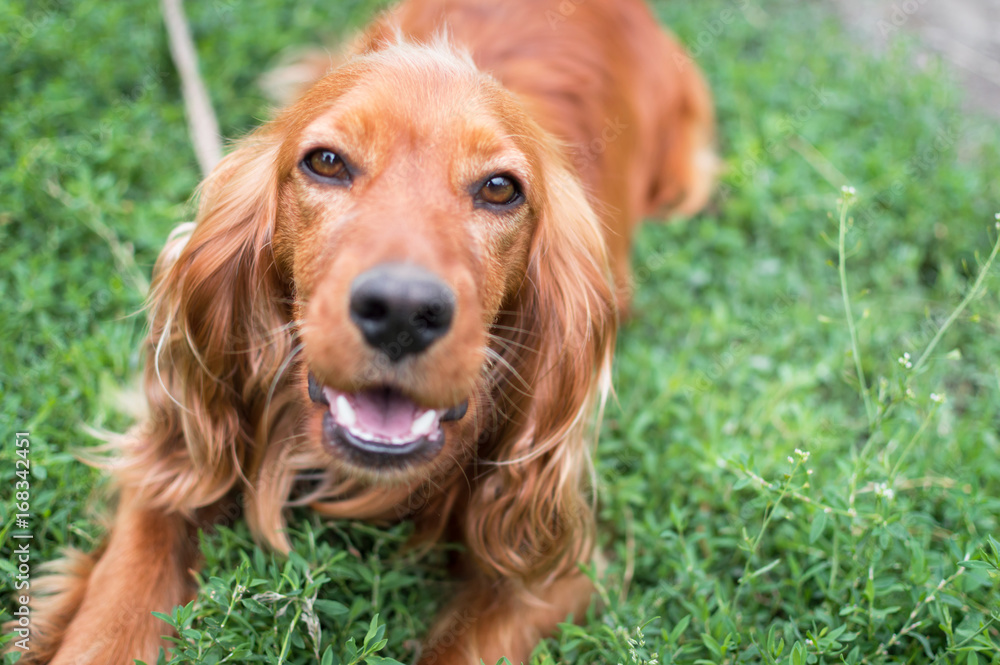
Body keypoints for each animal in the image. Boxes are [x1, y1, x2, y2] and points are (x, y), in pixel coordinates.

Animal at [21, 2, 712, 660]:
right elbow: (124, 588)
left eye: (499, 188)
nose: (403, 311)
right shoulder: (175, 455)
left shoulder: (558, 569)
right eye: (327, 162)